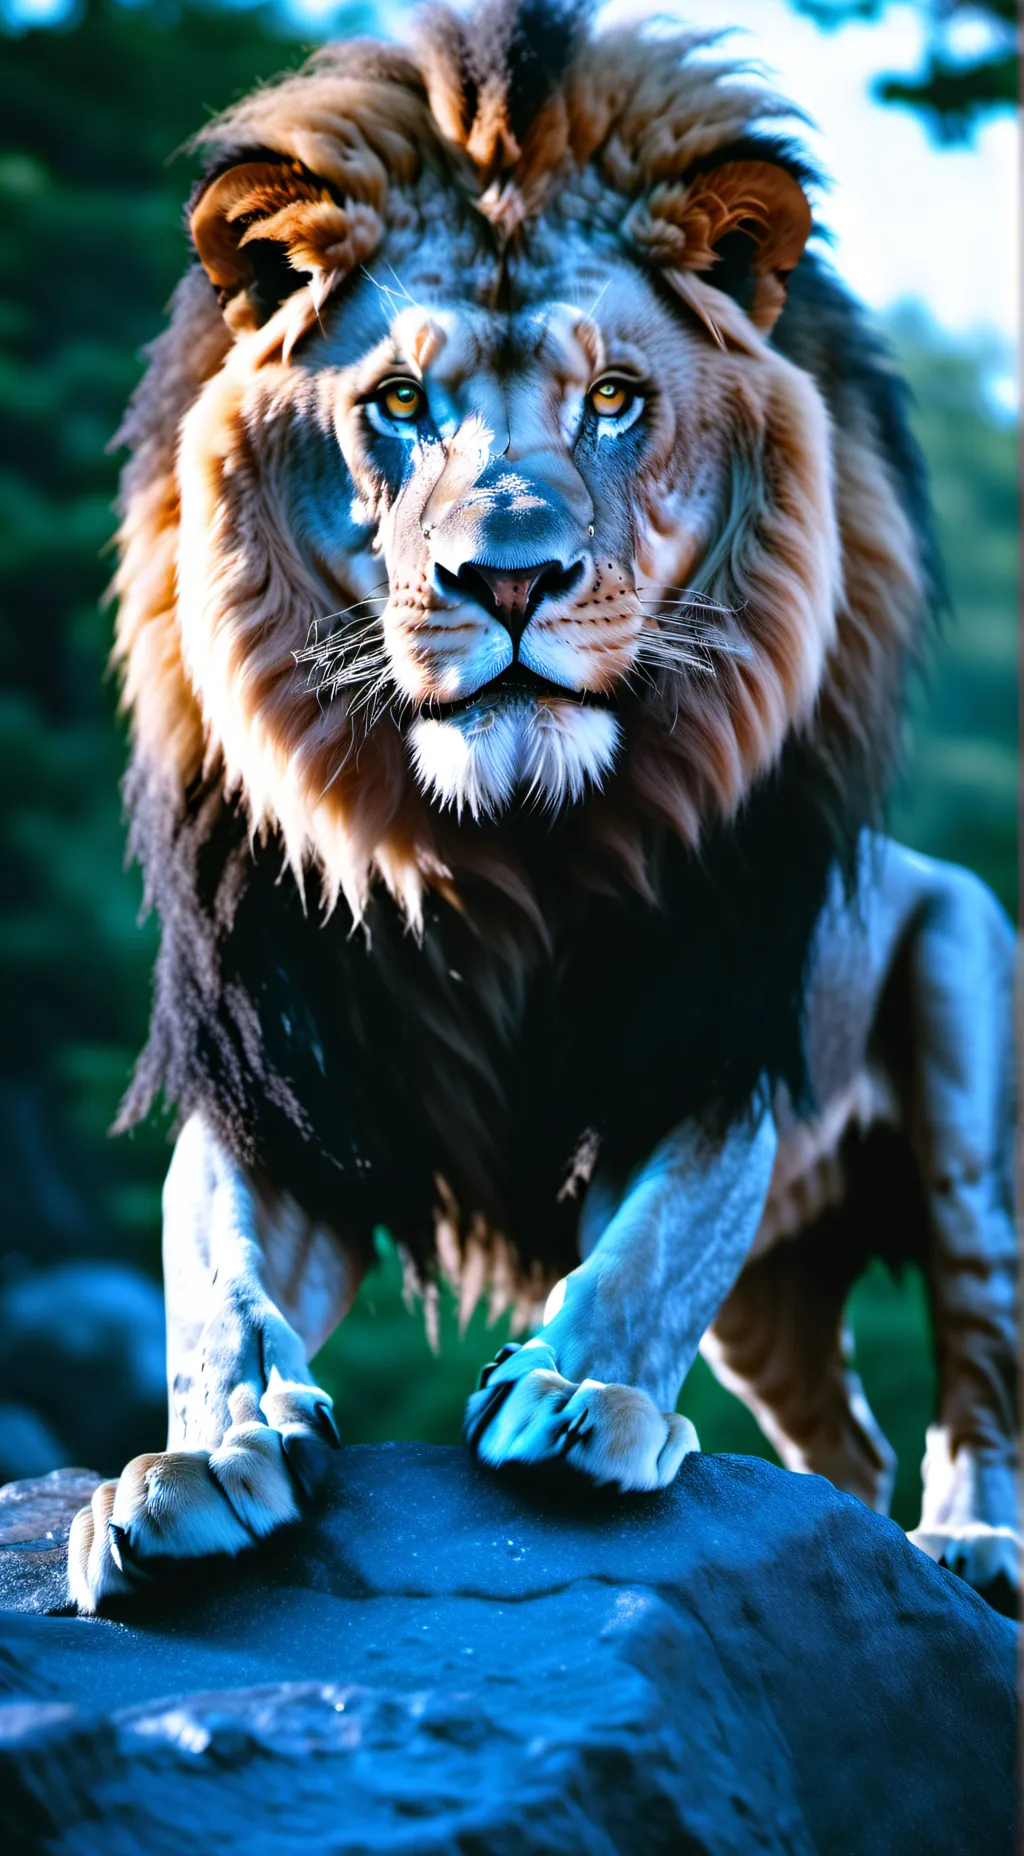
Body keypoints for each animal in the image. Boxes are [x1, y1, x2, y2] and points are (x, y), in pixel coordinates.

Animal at [69, 0, 1018, 1614]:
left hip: (965, 1037)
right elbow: (215, 1286)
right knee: (844, 1436)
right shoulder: (287, 1075)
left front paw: (576, 1398)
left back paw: (972, 1549)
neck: (493, 848)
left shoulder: (702, 1036)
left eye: (615, 400)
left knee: (981, 1346)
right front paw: (208, 1459)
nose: (508, 579)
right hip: (781, 1300)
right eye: (397, 402)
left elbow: (649, 1250)